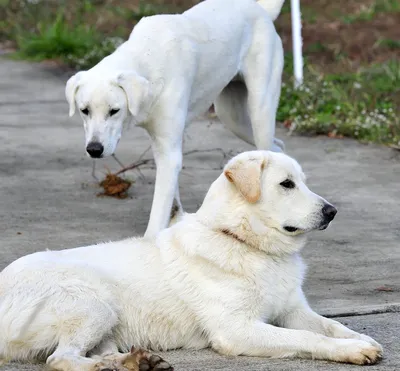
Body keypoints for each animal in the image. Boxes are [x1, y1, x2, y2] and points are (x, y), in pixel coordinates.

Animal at [0, 151, 382, 371]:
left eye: (302, 182)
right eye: (286, 184)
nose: (332, 212)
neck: (242, 241)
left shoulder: (293, 310)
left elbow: (330, 326)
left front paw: (360, 339)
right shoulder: (236, 330)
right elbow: (306, 338)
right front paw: (350, 350)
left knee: (90, 353)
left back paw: (136, 361)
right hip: (94, 303)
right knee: (60, 359)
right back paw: (112, 367)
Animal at [65, 0, 284, 238]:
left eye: (114, 110)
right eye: (84, 110)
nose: (94, 149)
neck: (147, 58)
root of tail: (260, 9)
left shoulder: (169, 153)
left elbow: (158, 212)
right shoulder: (163, 148)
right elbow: (171, 202)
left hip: (259, 112)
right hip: (234, 119)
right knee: (279, 146)